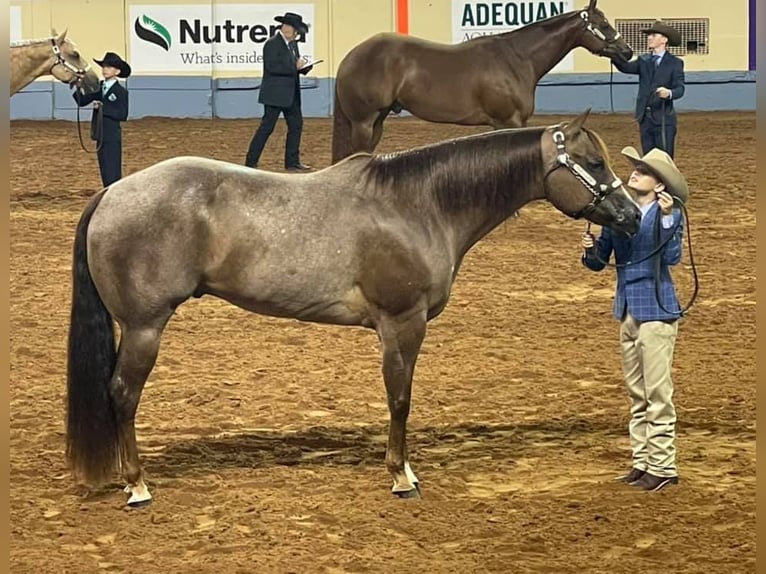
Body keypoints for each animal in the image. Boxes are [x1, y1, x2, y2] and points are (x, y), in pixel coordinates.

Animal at [65, 109, 641, 507]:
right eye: (593, 163)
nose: (633, 215)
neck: (419, 205)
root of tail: (112, 192)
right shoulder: (402, 323)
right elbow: (400, 398)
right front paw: (401, 476)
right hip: (145, 326)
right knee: (122, 394)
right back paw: (137, 486)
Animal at [331, 0, 633, 163]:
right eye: (603, 25)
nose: (627, 52)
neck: (517, 57)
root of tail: (351, 56)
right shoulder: (508, 121)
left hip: (377, 121)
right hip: (364, 121)